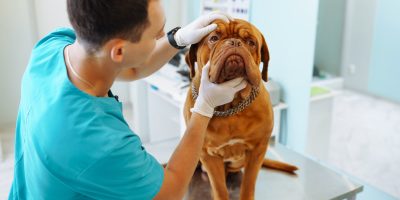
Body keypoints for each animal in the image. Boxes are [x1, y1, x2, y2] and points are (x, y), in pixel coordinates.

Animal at [184, 18, 296, 198]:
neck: (230, 105)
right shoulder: (208, 155)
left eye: (250, 42)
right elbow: (219, 187)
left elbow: (249, 183)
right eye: (214, 38)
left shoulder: (257, 149)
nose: (234, 42)